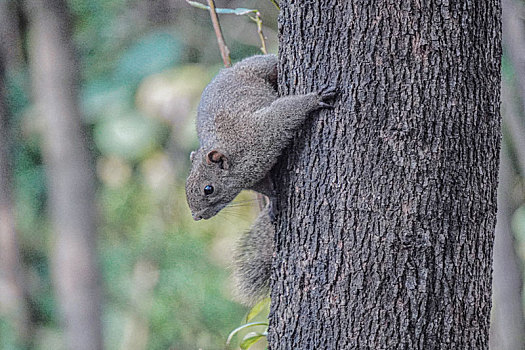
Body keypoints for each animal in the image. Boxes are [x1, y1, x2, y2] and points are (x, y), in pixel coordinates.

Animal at [184, 54, 336, 304]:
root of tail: (228, 70)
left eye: (208, 189)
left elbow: (286, 111)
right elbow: (267, 189)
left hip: (259, 67)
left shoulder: (262, 130)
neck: (235, 154)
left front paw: (315, 98)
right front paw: (274, 201)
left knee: (270, 65)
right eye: (187, 186)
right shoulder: (255, 177)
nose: (197, 217)